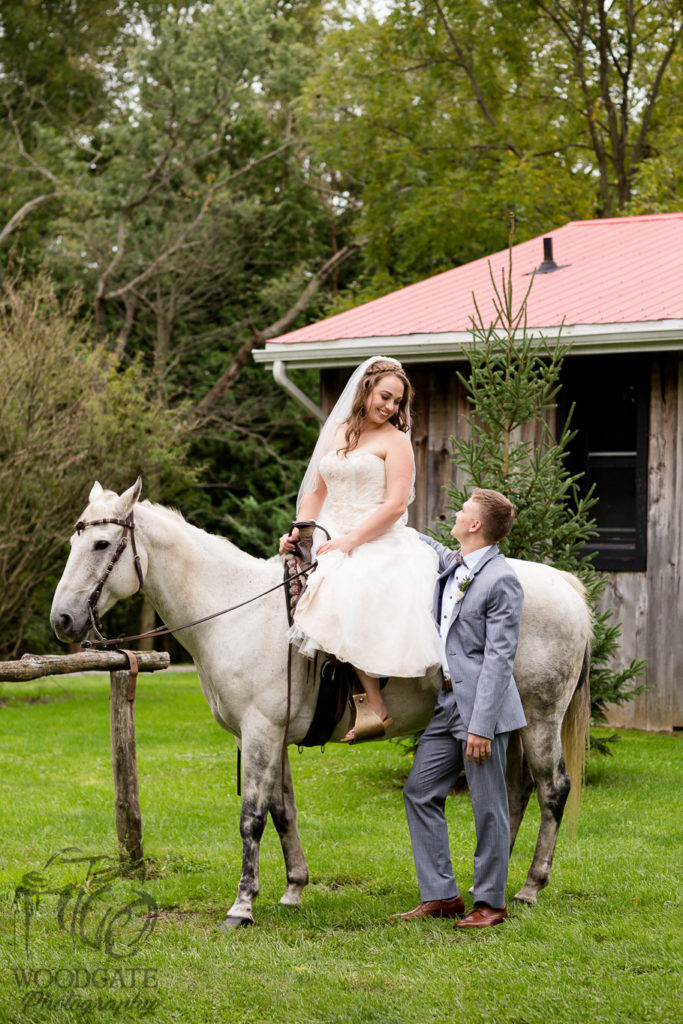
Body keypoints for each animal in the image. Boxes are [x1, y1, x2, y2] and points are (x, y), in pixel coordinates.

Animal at [50, 479, 589, 929]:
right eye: (75, 543)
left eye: (101, 545)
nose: (62, 620)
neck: (237, 611)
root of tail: (565, 585)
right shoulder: (269, 736)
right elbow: (282, 811)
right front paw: (293, 889)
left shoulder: (260, 732)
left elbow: (251, 817)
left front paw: (241, 907)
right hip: (505, 725)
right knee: (515, 793)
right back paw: (492, 883)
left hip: (540, 719)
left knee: (552, 791)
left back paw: (529, 888)